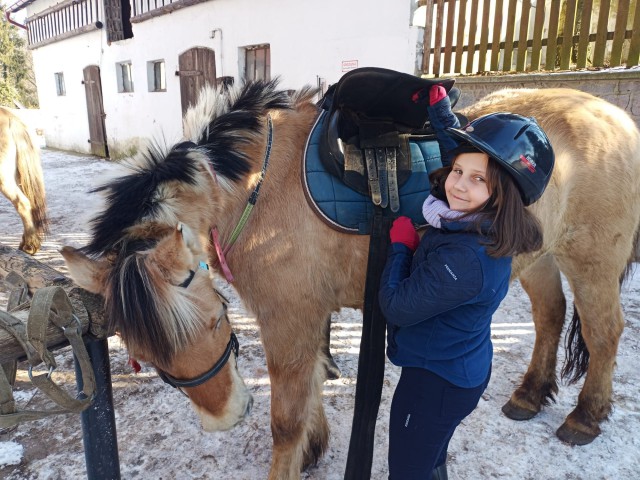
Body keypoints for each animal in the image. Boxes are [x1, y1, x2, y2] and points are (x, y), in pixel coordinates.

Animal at [61, 80, 640, 479]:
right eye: (145, 356)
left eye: (216, 319)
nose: (226, 417)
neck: (251, 188)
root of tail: (615, 117)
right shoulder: (307, 317)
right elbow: (314, 383)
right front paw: (314, 450)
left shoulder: (289, 318)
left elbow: (285, 419)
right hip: (539, 257)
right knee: (550, 316)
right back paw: (530, 394)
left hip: (591, 261)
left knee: (605, 331)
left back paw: (585, 417)